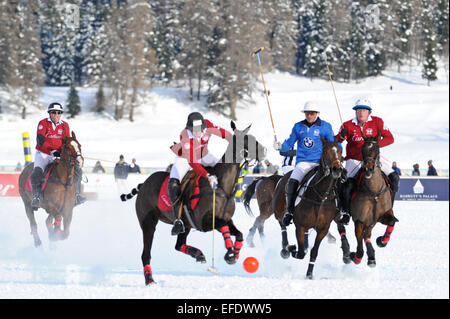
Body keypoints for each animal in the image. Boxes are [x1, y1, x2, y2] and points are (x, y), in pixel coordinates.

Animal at [120, 121, 268, 286]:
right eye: (245, 140)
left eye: (254, 138)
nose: (264, 151)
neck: (222, 187)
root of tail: (143, 184)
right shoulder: (205, 222)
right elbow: (223, 227)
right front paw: (229, 253)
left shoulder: (226, 218)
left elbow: (239, 234)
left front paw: (233, 254)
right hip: (148, 223)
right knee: (146, 254)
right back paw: (150, 279)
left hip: (186, 225)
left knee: (178, 245)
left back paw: (198, 254)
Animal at [270, 138, 352, 280]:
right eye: (325, 151)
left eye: (340, 151)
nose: (337, 169)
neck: (321, 195)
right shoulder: (300, 226)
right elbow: (301, 252)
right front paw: (292, 248)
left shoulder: (323, 228)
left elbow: (314, 251)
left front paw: (309, 274)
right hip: (279, 211)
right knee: (282, 224)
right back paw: (285, 249)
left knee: (340, 226)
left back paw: (346, 253)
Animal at [348, 130, 398, 268]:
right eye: (362, 149)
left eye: (376, 148)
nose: (368, 168)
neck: (374, 192)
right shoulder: (359, 220)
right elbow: (359, 243)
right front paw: (356, 256)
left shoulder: (382, 215)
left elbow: (392, 222)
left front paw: (381, 241)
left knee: (367, 234)